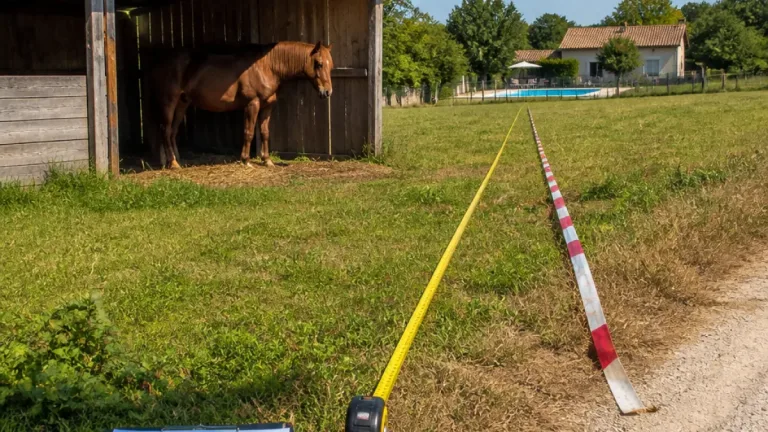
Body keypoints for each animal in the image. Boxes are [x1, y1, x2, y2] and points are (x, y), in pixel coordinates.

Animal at [145, 41, 334, 169]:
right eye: (319, 64)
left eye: (330, 65)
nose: (327, 92)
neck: (267, 66)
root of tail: (159, 62)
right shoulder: (252, 104)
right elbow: (249, 132)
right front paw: (246, 160)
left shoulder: (267, 106)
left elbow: (265, 133)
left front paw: (267, 160)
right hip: (168, 102)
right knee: (166, 130)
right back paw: (172, 163)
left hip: (182, 104)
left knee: (172, 132)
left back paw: (177, 159)